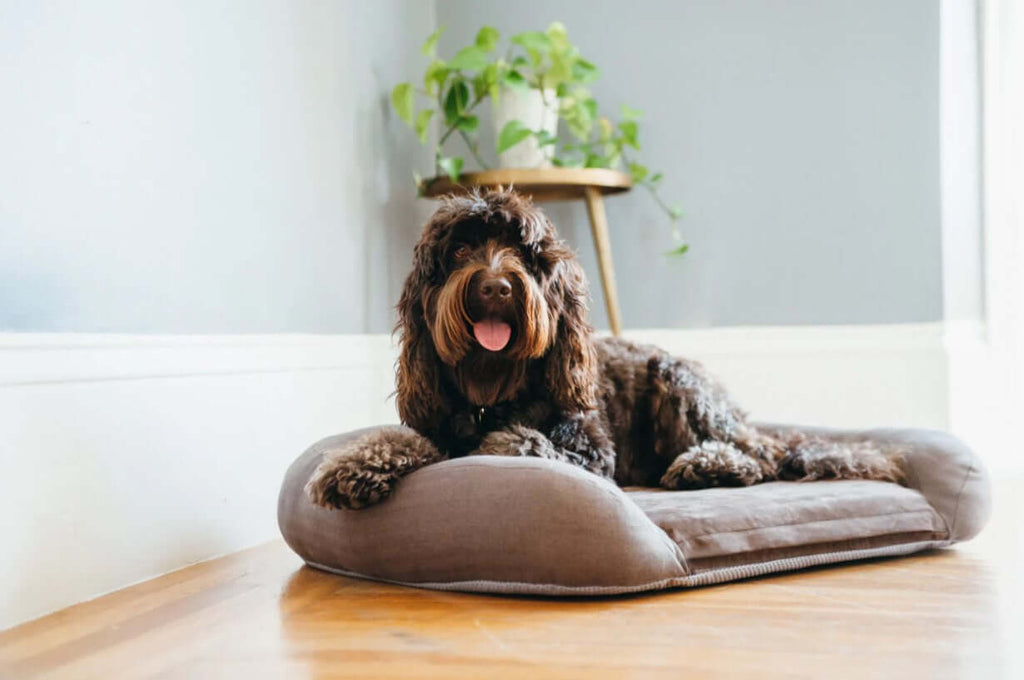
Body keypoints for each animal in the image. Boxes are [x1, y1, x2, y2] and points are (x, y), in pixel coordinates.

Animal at [305, 188, 905, 507]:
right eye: (458, 251)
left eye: (525, 252)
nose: (495, 286)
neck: (492, 389)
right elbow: (404, 439)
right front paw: (353, 463)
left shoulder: (591, 451)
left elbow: (524, 443)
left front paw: (495, 445)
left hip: (678, 381)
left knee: (764, 456)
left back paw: (707, 466)